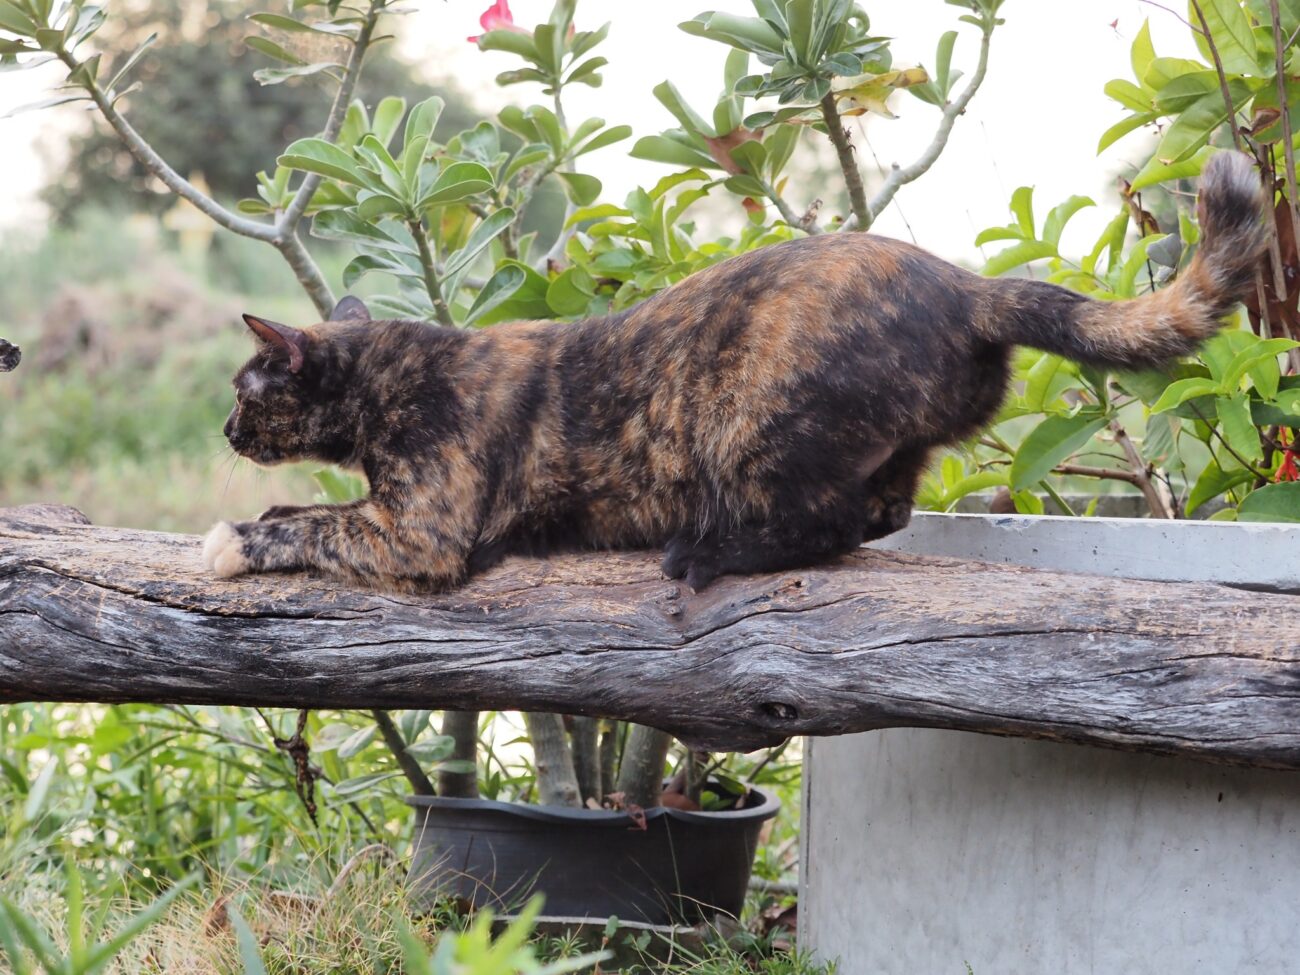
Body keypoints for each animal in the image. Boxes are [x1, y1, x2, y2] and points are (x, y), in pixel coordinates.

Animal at [202, 150, 1268, 595]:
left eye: (244, 389)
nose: (223, 431)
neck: (390, 370)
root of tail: (965, 284)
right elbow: (305, 509)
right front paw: (255, 519)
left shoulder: (421, 528)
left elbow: (318, 526)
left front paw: (231, 541)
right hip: (877, 446)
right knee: (879, 514)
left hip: (751, 423)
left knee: (827, 522)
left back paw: (706, 554)